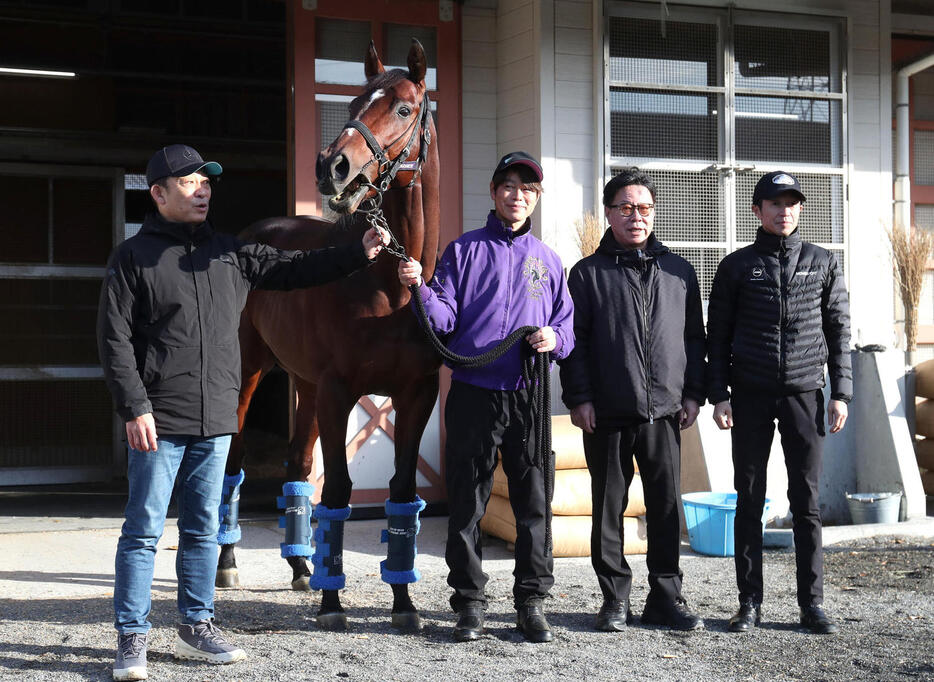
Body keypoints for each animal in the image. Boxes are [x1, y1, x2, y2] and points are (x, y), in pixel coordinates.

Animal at [216, 39, 442, 628]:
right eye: (355, 103)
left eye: (404, 108)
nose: (331, 166)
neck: (389, 285)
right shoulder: (341, 393)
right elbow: (338, 490)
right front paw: (333, 601)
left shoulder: (416, 396)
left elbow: (402, 489)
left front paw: (403, 602)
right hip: (252, 374)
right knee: (233, 463)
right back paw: (229, 565)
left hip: (307, 385)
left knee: (297, 463)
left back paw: (300, 568)